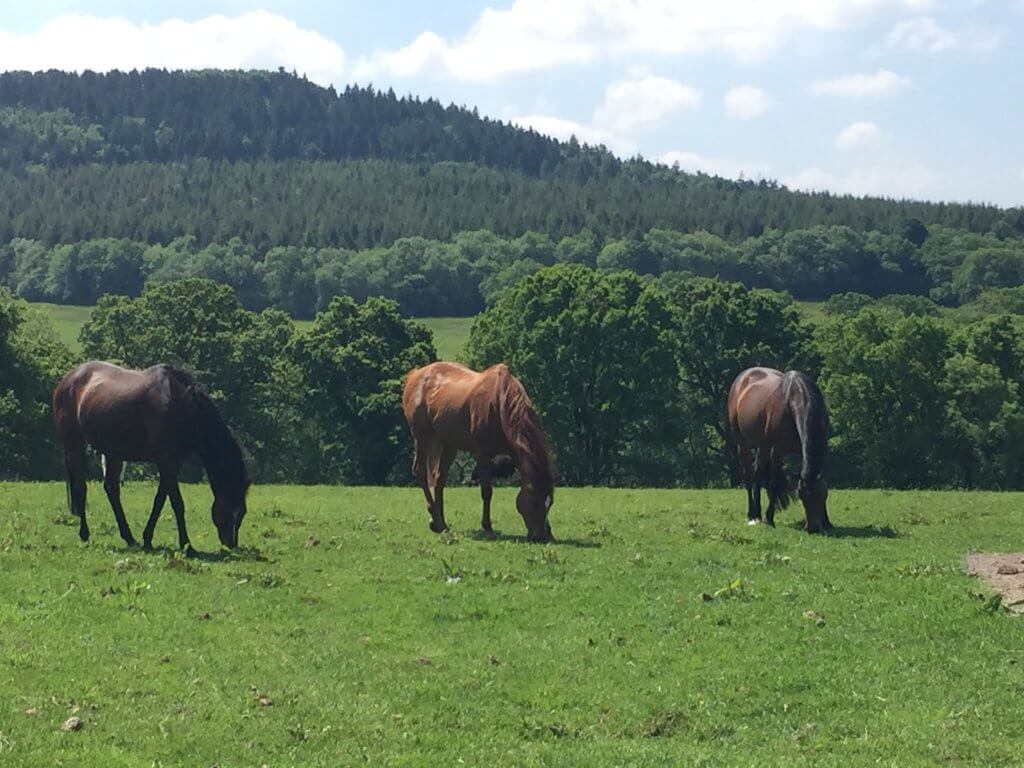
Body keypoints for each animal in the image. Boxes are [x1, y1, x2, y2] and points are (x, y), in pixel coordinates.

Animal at [52, 361, 250, 551]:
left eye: (242, 513)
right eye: (230, 508)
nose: (231, 545)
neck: (181, 406)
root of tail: (69, 379)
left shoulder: (172, 463)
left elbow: (160, 500)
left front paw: (147, 538)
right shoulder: (166, 461)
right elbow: (177, 503)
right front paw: (187, 545)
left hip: (113, 452)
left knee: (111, 489)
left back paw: (129, 538)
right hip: (75, 444)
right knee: (81, 487)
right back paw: (85, 534)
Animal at [402, 362, 554, 542]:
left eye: (550, 502)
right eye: (535, 502)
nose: (541, 536)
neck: (499, 402)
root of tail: (415, 375)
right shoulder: (482, 454)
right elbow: (487, 491)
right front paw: (487, 527)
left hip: (448, 445)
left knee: (439, 479)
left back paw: (441, 523)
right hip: (422, 437)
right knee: (420, 471)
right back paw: (437, 521)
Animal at [727, 367, 833, 533]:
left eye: (823, 495)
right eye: (802, 496)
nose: (813, 528)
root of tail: (743, 377)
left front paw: (827, 522)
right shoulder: (778, 449)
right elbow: (774, 483)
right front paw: (770, 519)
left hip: (763, 445)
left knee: (758, 473)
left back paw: (758, 514)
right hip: (742, 443)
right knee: (749, 476)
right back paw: (752, 515)